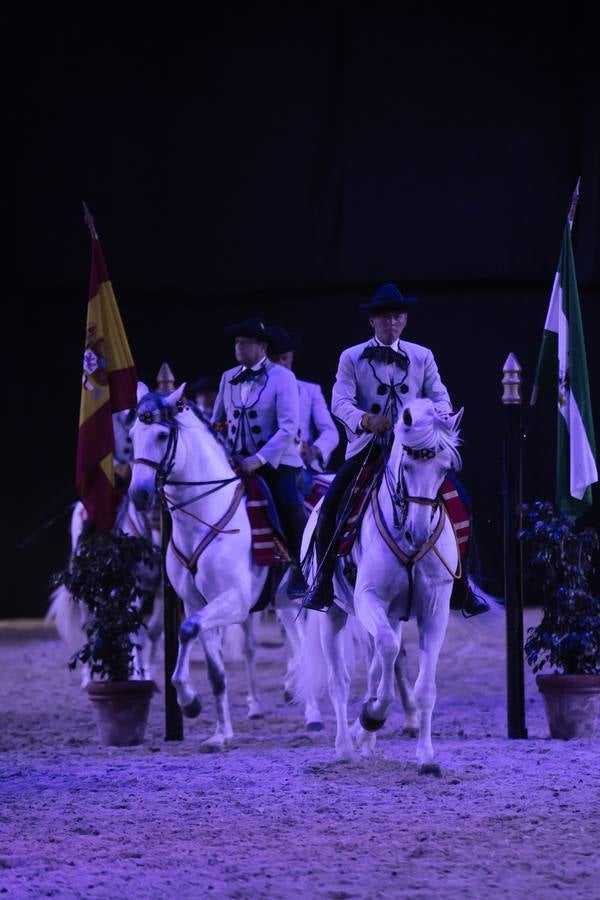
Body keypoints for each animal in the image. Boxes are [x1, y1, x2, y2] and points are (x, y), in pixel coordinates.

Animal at [127, 380, 324, 744]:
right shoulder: (195, 603)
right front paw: (216, 730)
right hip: (285, 602)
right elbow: (210, 665)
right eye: (132, 434)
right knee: (303, 648)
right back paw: (311, 712)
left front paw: (190, 702)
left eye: (161, 435)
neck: (205, 515)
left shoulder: (236, 600)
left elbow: (187, 630)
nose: (140, 495)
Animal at [300, 400, 488, 772]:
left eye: (444, 469)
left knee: (377, 668)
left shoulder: (433, 613)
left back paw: (365, 741)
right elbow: (386, 652)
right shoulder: (369, 600)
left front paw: (426, 757)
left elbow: (424, 686)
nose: (419, 533)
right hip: (334, 614)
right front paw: (373, 715)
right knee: (340, 681)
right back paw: (345, 746)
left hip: (393, 616)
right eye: (408, 464)